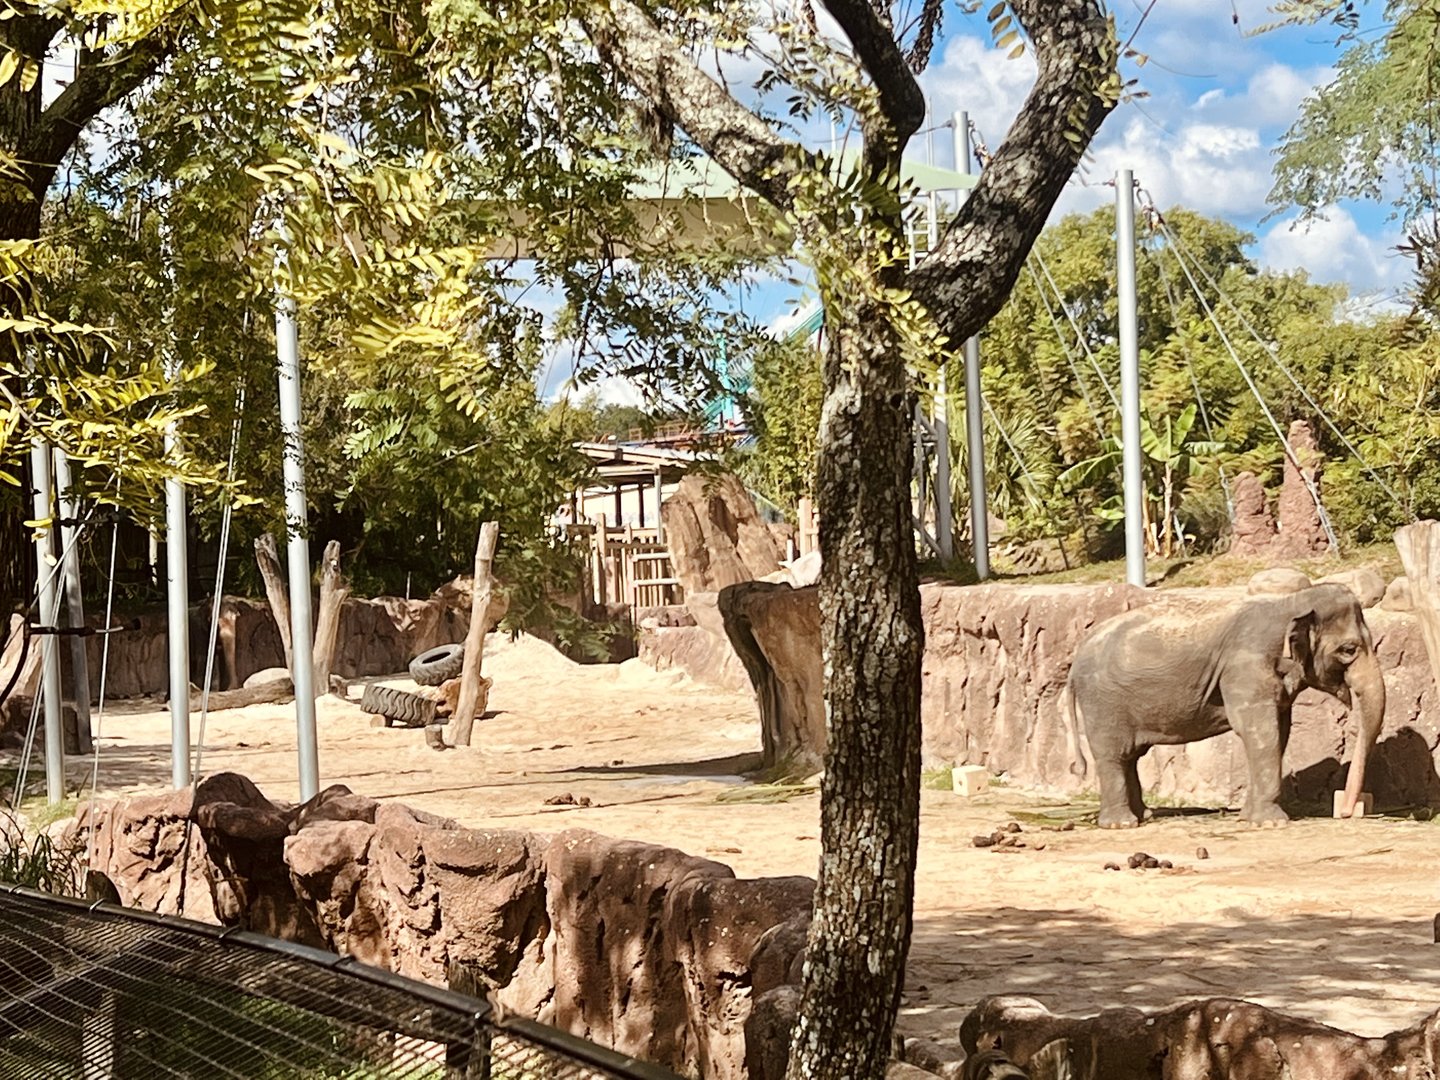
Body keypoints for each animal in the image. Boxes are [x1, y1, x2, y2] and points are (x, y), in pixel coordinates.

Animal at [1063, 583, 1386, 828]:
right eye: (1349, 650)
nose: (1346, 811)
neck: (1289, 603)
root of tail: (1076, 660)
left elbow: (1279, 733)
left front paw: (1249, 818)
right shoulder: (1245, 667)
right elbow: (1260, 732)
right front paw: (1272, 822)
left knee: (1130, 757)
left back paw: (1145, 816)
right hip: (1103, 701)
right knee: (1113, 756)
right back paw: (1122, 824)